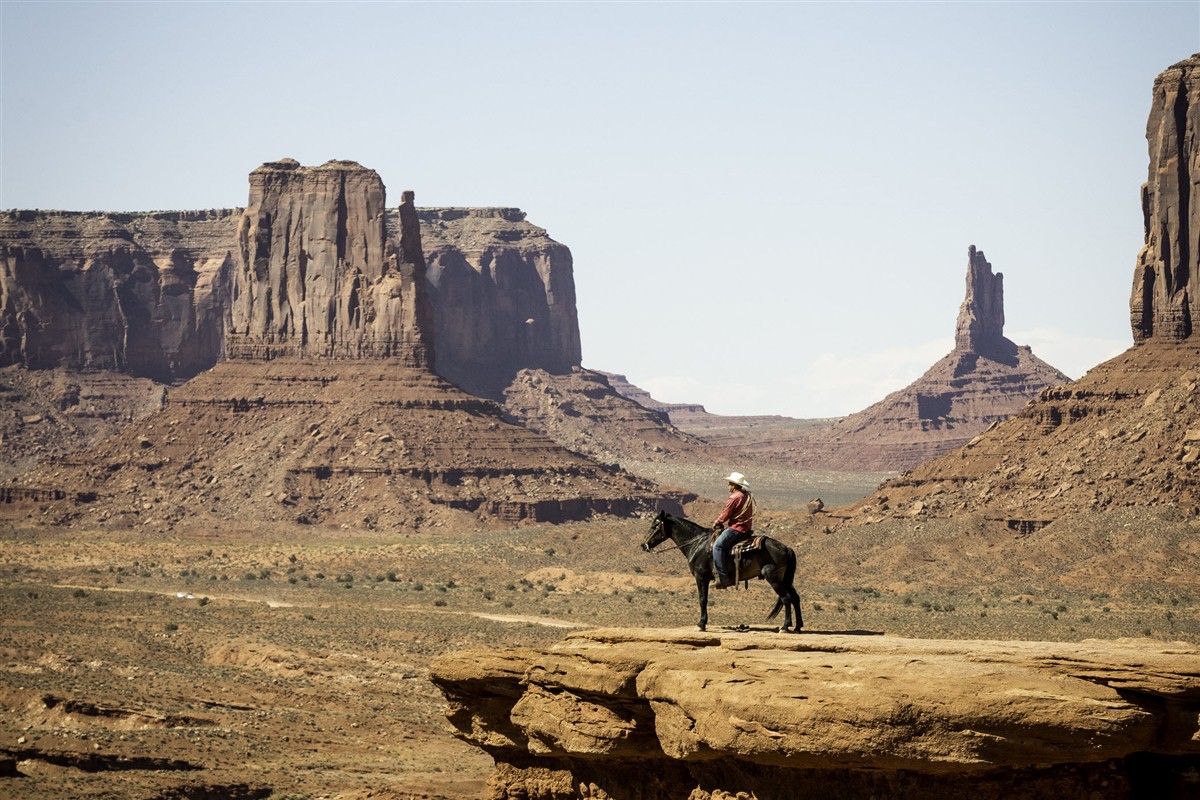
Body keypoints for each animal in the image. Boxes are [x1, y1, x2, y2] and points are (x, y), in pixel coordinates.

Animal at [643, 513, 801, 633]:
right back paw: (798, 627)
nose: (643, 545)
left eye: (655, 526)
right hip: (785, 579)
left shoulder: (701, 577)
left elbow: (702, 599)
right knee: (795, 598)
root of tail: (786, 548)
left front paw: (701, 624)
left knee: (786, 598)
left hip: (773, 578)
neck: (696, 544)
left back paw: (785, 627)